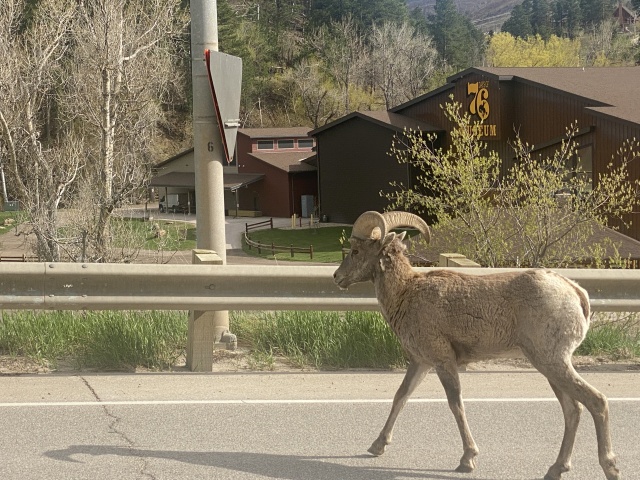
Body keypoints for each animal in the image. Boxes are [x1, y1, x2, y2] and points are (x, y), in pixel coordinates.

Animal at [333, 210, 620, 480]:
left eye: (356, 251)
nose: (337, 277)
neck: (406, 293)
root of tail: (576, 292)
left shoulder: (443, 361)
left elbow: (456, 404)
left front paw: (467, 460)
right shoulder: (421, 362)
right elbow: (401, 397)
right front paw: (376, 446)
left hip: (552, 362)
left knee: (596, 401)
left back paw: (610, 468)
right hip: (550, 366)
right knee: (573, 410)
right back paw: (555, 469)